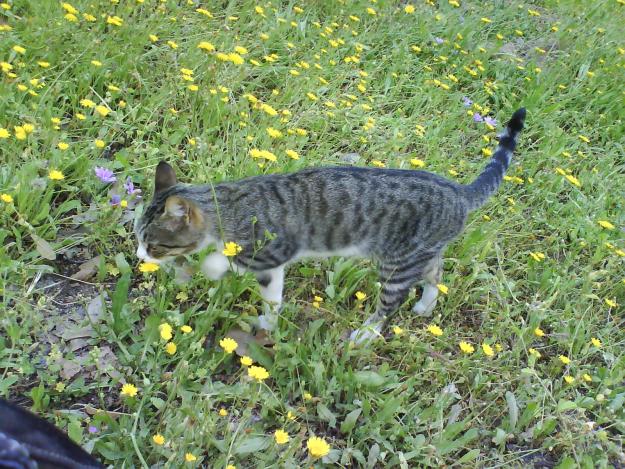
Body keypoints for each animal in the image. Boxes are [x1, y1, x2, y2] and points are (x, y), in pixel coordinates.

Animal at [134, 108, 524, 342]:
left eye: (154, 245)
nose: (139, 257)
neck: (228, 206)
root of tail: (459, 191)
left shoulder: (271, 249)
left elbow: (226, 261)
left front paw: (209, 270)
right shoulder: (272, 268)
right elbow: (272, 298)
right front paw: (268, 323)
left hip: (397, 268)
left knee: (389, 304)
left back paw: (366, 333)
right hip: (419, 254)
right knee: (436, 273)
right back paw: (426, 306)